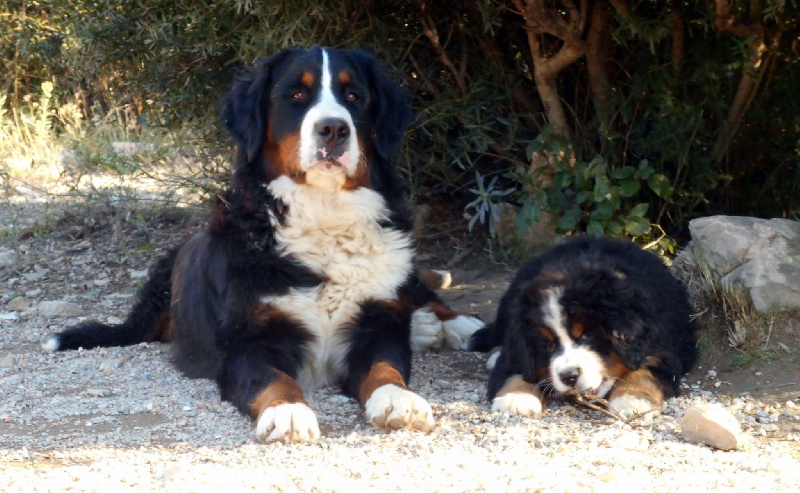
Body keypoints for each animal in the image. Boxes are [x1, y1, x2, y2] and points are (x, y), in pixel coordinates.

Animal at [42, 48, 482, 444]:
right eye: (296, 95)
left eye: (354, 96)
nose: (334, 129)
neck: (325, 214)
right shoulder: (249, 343)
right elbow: (274, 379)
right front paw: (288, 413)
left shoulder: (376, 325)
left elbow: (386, 367)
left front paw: (399, 400)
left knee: (420, 293)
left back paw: (454, 324)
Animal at [468, 237, 692, 418]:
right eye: (547, 345)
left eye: (587, 337)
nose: (569, 377)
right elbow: (517, 369)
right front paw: (516, 398)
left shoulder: (661, 349)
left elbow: (643, 372)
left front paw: (633, 399)